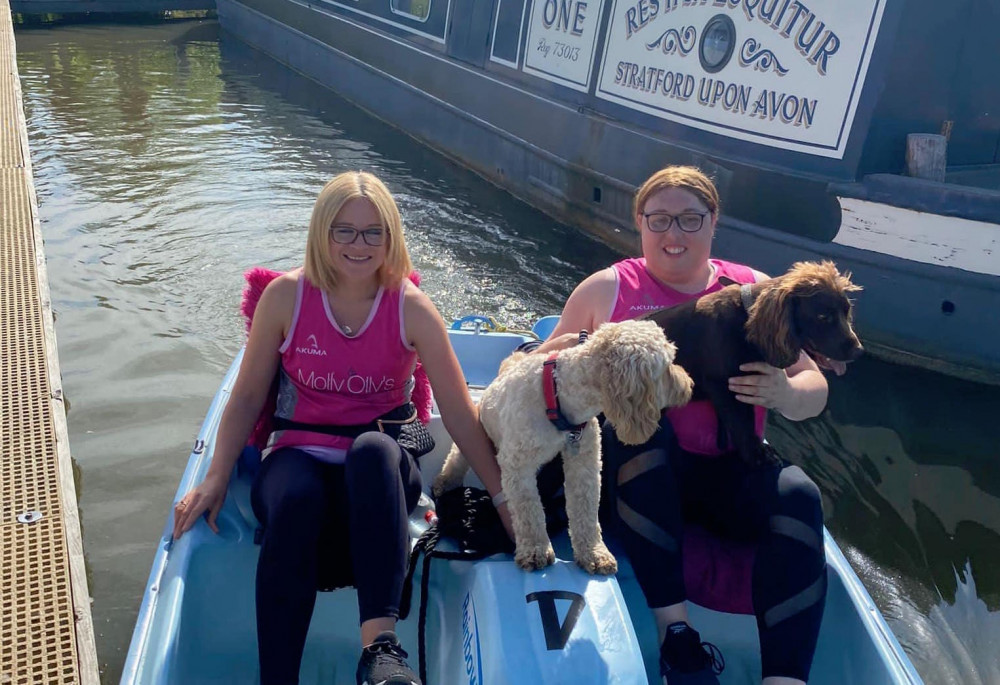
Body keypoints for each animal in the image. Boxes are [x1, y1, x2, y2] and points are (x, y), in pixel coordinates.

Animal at [430, 320, 696, 572]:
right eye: (668, 365)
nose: (689, 385)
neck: (558, 398)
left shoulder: (585, 460)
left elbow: (586, 509)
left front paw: (594, 553)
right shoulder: (518, 465)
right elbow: (528, 510)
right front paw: (535, 550)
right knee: (457, 457)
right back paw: (445, 482)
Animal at [644, 260, 864, 464]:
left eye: (846, 311)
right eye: (823, 316)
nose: (859, 351)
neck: (746, 319)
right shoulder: (722, 385)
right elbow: (743, 424)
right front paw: (758, 454)